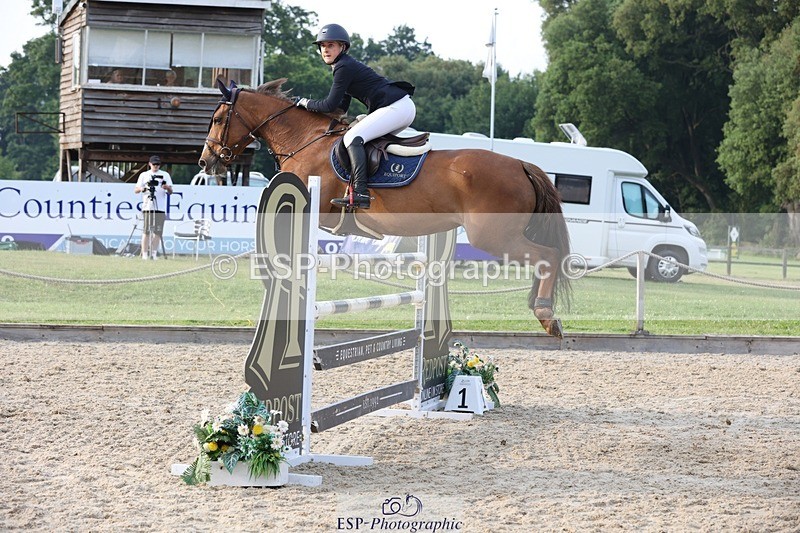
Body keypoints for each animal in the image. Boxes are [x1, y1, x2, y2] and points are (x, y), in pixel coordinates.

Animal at [199, 78, 571, 338]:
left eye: (217, 118)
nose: (206, 161)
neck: (304, 141)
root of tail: (522, 164)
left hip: (494, 237)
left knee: (548, 255)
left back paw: (545, 314)